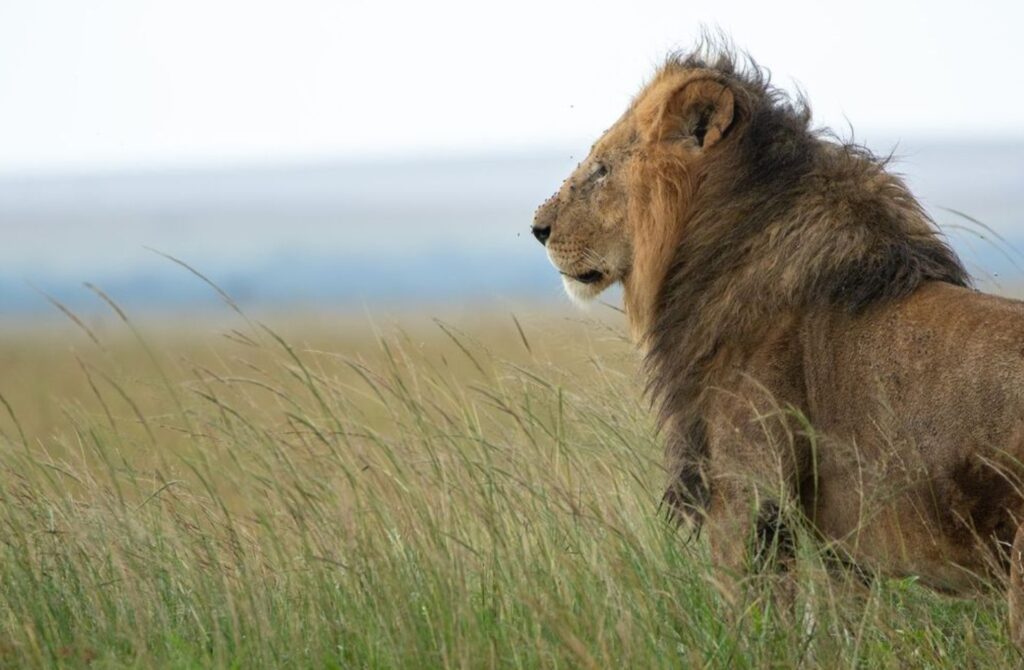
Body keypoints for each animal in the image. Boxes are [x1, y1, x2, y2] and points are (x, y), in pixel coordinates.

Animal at [532, 43, 1024, 643]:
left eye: (601, 170)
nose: (537, 228)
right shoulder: (845, 544)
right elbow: (843, 629)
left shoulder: (747, 491)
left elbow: (750, 622)